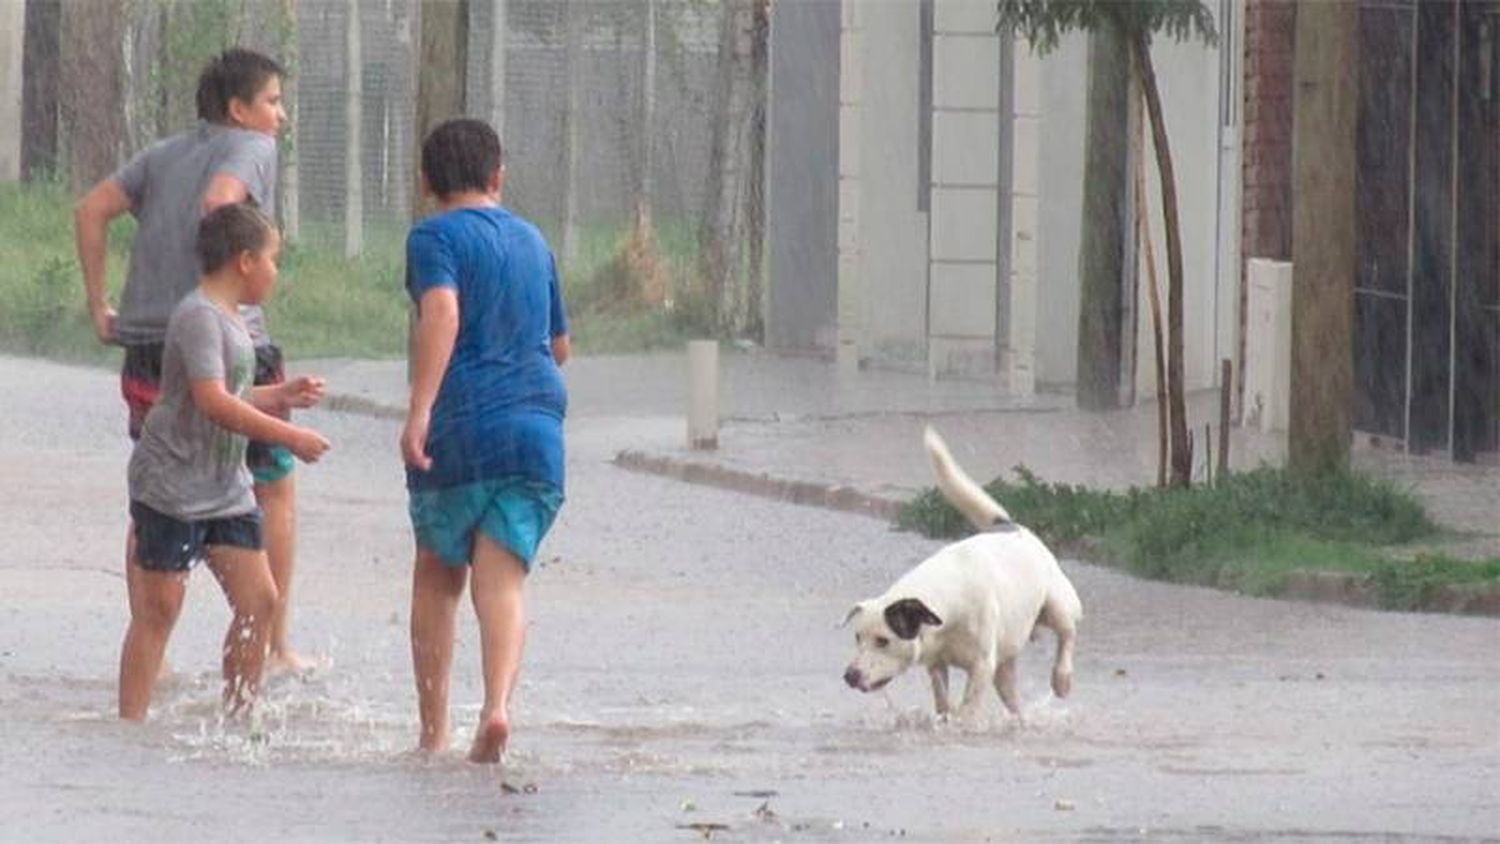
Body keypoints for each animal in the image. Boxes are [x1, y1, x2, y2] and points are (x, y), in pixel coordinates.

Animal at [846, 428, 1080, 719]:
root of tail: (1010, 525)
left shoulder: (981, 666)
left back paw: (1062, 678)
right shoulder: (936, 662)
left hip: (1058, 603)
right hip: (1006, 656)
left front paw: (961, 721)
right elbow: (943, 700)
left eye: (882, 640)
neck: (946, 602)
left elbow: (968, 709)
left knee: (1068, 632)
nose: (850, 676)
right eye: (857, 637)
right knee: (1012, 693)